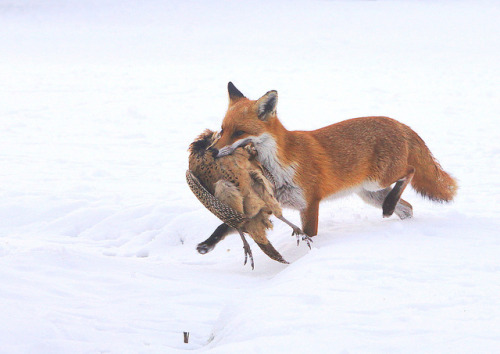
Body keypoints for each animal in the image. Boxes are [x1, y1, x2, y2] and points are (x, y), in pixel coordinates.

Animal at [207, 81, 458, 239]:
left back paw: (390, 207)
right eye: (223, 130)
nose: (211, 152)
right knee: (407, 208)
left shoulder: (310, 203)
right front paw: (207, 245)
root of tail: (399, 123)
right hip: (371, 193)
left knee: (411, 171)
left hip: (378, 181)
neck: (278, 166)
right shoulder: (268, 203)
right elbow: (225, 226)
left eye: (239, 132)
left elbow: (309, 236)